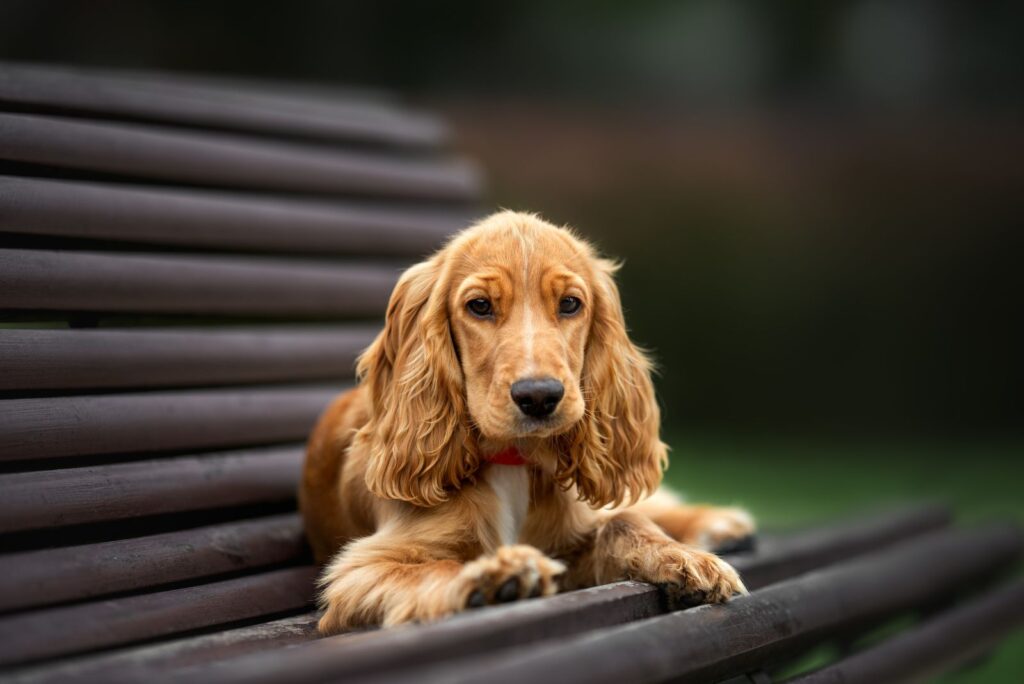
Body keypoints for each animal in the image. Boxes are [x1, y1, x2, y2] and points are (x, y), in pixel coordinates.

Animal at [299, 210, 757, 634]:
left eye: (569, 303)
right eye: (480, 306)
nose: (539, 397)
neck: (512, 461)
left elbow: (623, 521)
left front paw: (685, 558)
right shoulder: (362, 570)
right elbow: (432, 568)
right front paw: (493, 577)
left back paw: (715, 524)